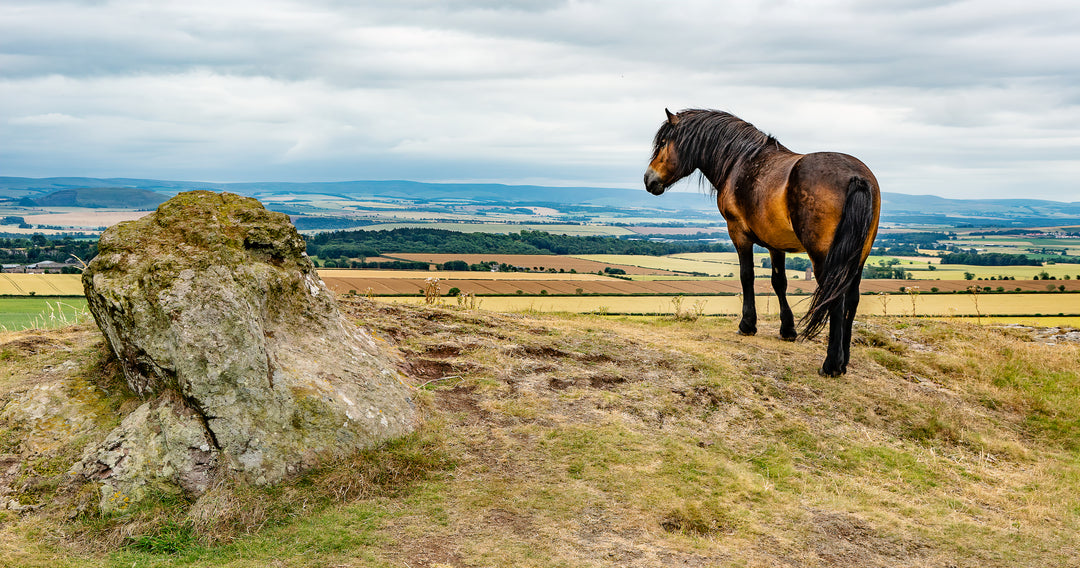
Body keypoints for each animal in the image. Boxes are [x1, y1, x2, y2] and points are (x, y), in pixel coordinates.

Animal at [644, 109, 880, 376]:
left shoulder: (738, 232)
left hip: (824, 258)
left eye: (663, 143)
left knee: (836, 300)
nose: (648, 179)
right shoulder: (776, 243)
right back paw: (844, 361)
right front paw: (787, 330)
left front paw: (747, 324)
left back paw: (831, 365)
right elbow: (779, 282)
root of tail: (856, 177)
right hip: (857, 257)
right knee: (851, 298)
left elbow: (747, 275)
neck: (740, 161)